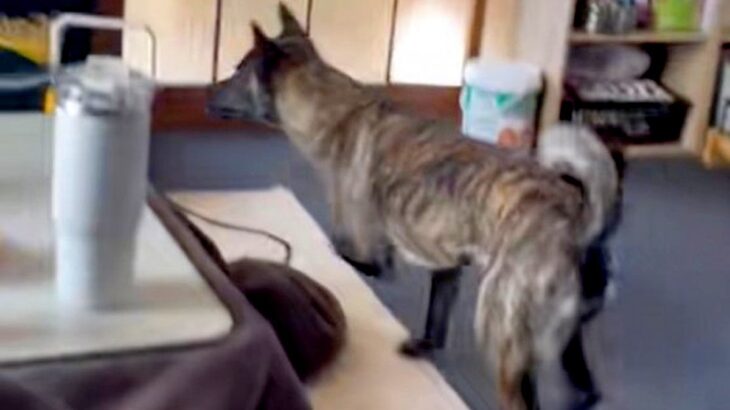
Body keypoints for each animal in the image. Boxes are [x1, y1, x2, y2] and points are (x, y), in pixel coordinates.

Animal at [208, 6, 622, 409]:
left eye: (237, 69)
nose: (207, 94)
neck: (333, 108)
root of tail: (580, 221)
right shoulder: (447, 267)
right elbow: (436, 321)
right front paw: (423, 346)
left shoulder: (370, 255)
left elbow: (349, 258)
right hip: (566, 342)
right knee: (586, 391)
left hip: (501, 331)